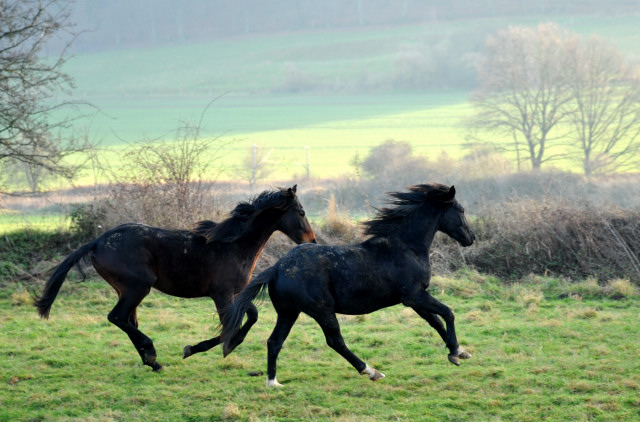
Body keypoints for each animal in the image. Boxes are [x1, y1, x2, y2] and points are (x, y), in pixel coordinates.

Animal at [35, 185, 316, 370]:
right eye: (302, 212)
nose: (312, 241)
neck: (235, 244)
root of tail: (97, 242)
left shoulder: (236, 293)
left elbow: (252, 316)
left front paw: (223, 346)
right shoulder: (222, 294)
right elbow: (229, 327)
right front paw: (199, 349)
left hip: (126, 290)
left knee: (128, 320)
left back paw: (152, 361)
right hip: (137, 288)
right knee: (117, 317)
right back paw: (151, 354)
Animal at [221, 183, 476, 388]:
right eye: (461, 210)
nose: (471, 238)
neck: (406, 247)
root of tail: (277, 268)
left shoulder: (415, 299)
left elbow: (435, 322)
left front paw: (458, 351)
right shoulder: (414, 296)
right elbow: (448, 313)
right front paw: (457, 353)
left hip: (288, 312)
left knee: (274, 342)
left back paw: (273, 382)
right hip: (322, 311)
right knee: (335, 341)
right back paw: (371, 371)